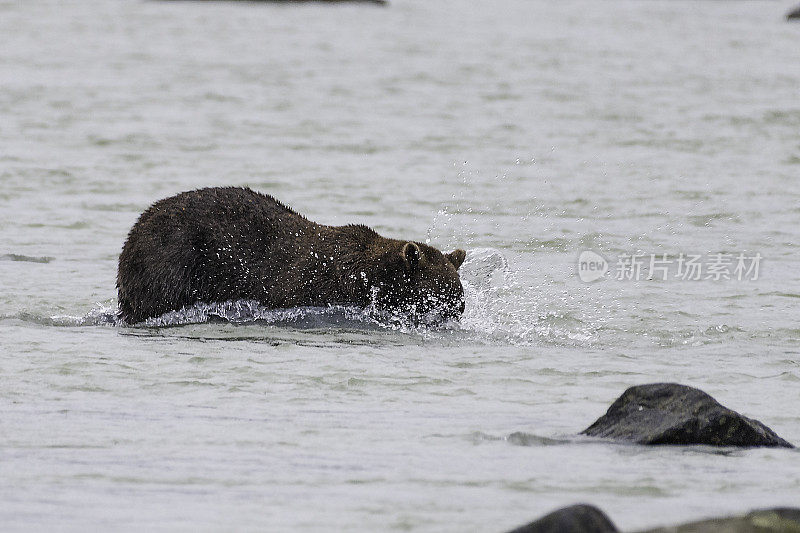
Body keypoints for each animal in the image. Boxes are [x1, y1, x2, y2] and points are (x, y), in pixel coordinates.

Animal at [119, 187, 468, 324]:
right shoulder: (315, 286)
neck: (368, 277)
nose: (452, 317)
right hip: (172, 255)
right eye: (437, 299)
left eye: (459, 304)